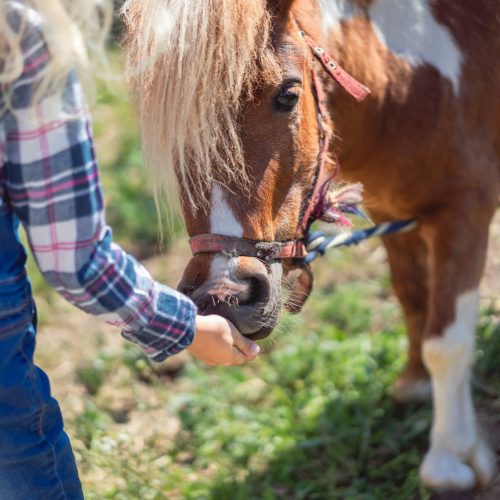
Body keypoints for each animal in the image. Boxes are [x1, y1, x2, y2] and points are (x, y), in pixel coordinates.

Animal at [122, 0, 500, 492]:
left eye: (287, 95)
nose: (225, 296)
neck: (411, 76)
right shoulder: (395, 213)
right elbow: (413, 302)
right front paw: (416, 385)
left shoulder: (465, 209)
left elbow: (446, 339)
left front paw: (452, 459)